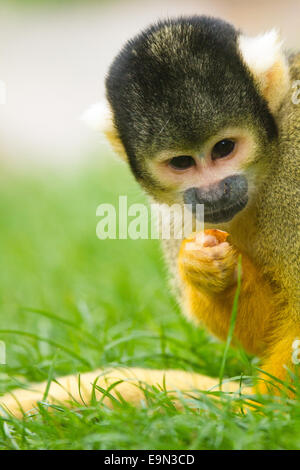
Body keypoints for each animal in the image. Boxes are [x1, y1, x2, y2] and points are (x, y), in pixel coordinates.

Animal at [0, 16, 298, 416]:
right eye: (182, 163)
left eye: (224, 148)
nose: (213, 193)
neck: (265, 175)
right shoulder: (177, 214)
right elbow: (265, 330)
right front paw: (211, 271)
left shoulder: (293, 167)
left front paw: (262, 414)